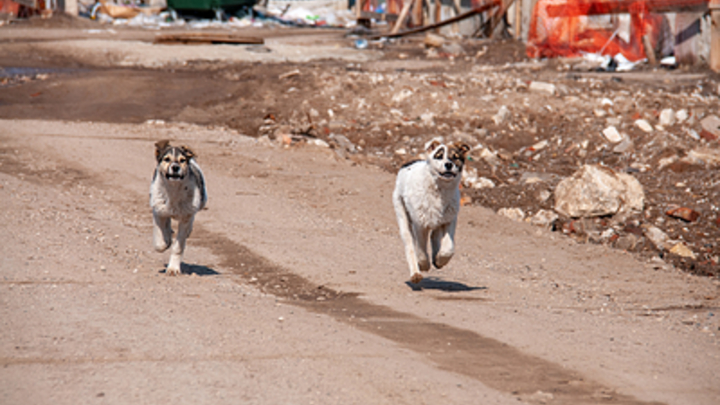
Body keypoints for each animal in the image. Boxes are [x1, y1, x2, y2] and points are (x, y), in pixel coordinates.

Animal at [148, 139, 207, 274]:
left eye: (182, 160)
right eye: (167, 159)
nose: (175, 167)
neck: (174, 191)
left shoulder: (186, 215)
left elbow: (178, 246)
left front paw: (173, 268)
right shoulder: (158, 209)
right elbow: (160, 242)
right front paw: (165, 241)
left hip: (201, 201)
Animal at [394, 139, 472, 284]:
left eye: (455, 157)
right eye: (439, 156)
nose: (448, 164)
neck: (439, 190)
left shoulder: (450, 219)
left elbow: (449, 247)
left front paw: (440, 260)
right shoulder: (420, 224)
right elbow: (421, 250)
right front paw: (423, 264)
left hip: (438, 220)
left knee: (434, 236)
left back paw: (436, 257)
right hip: (401, 212)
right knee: (410, 244)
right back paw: (415, 273)